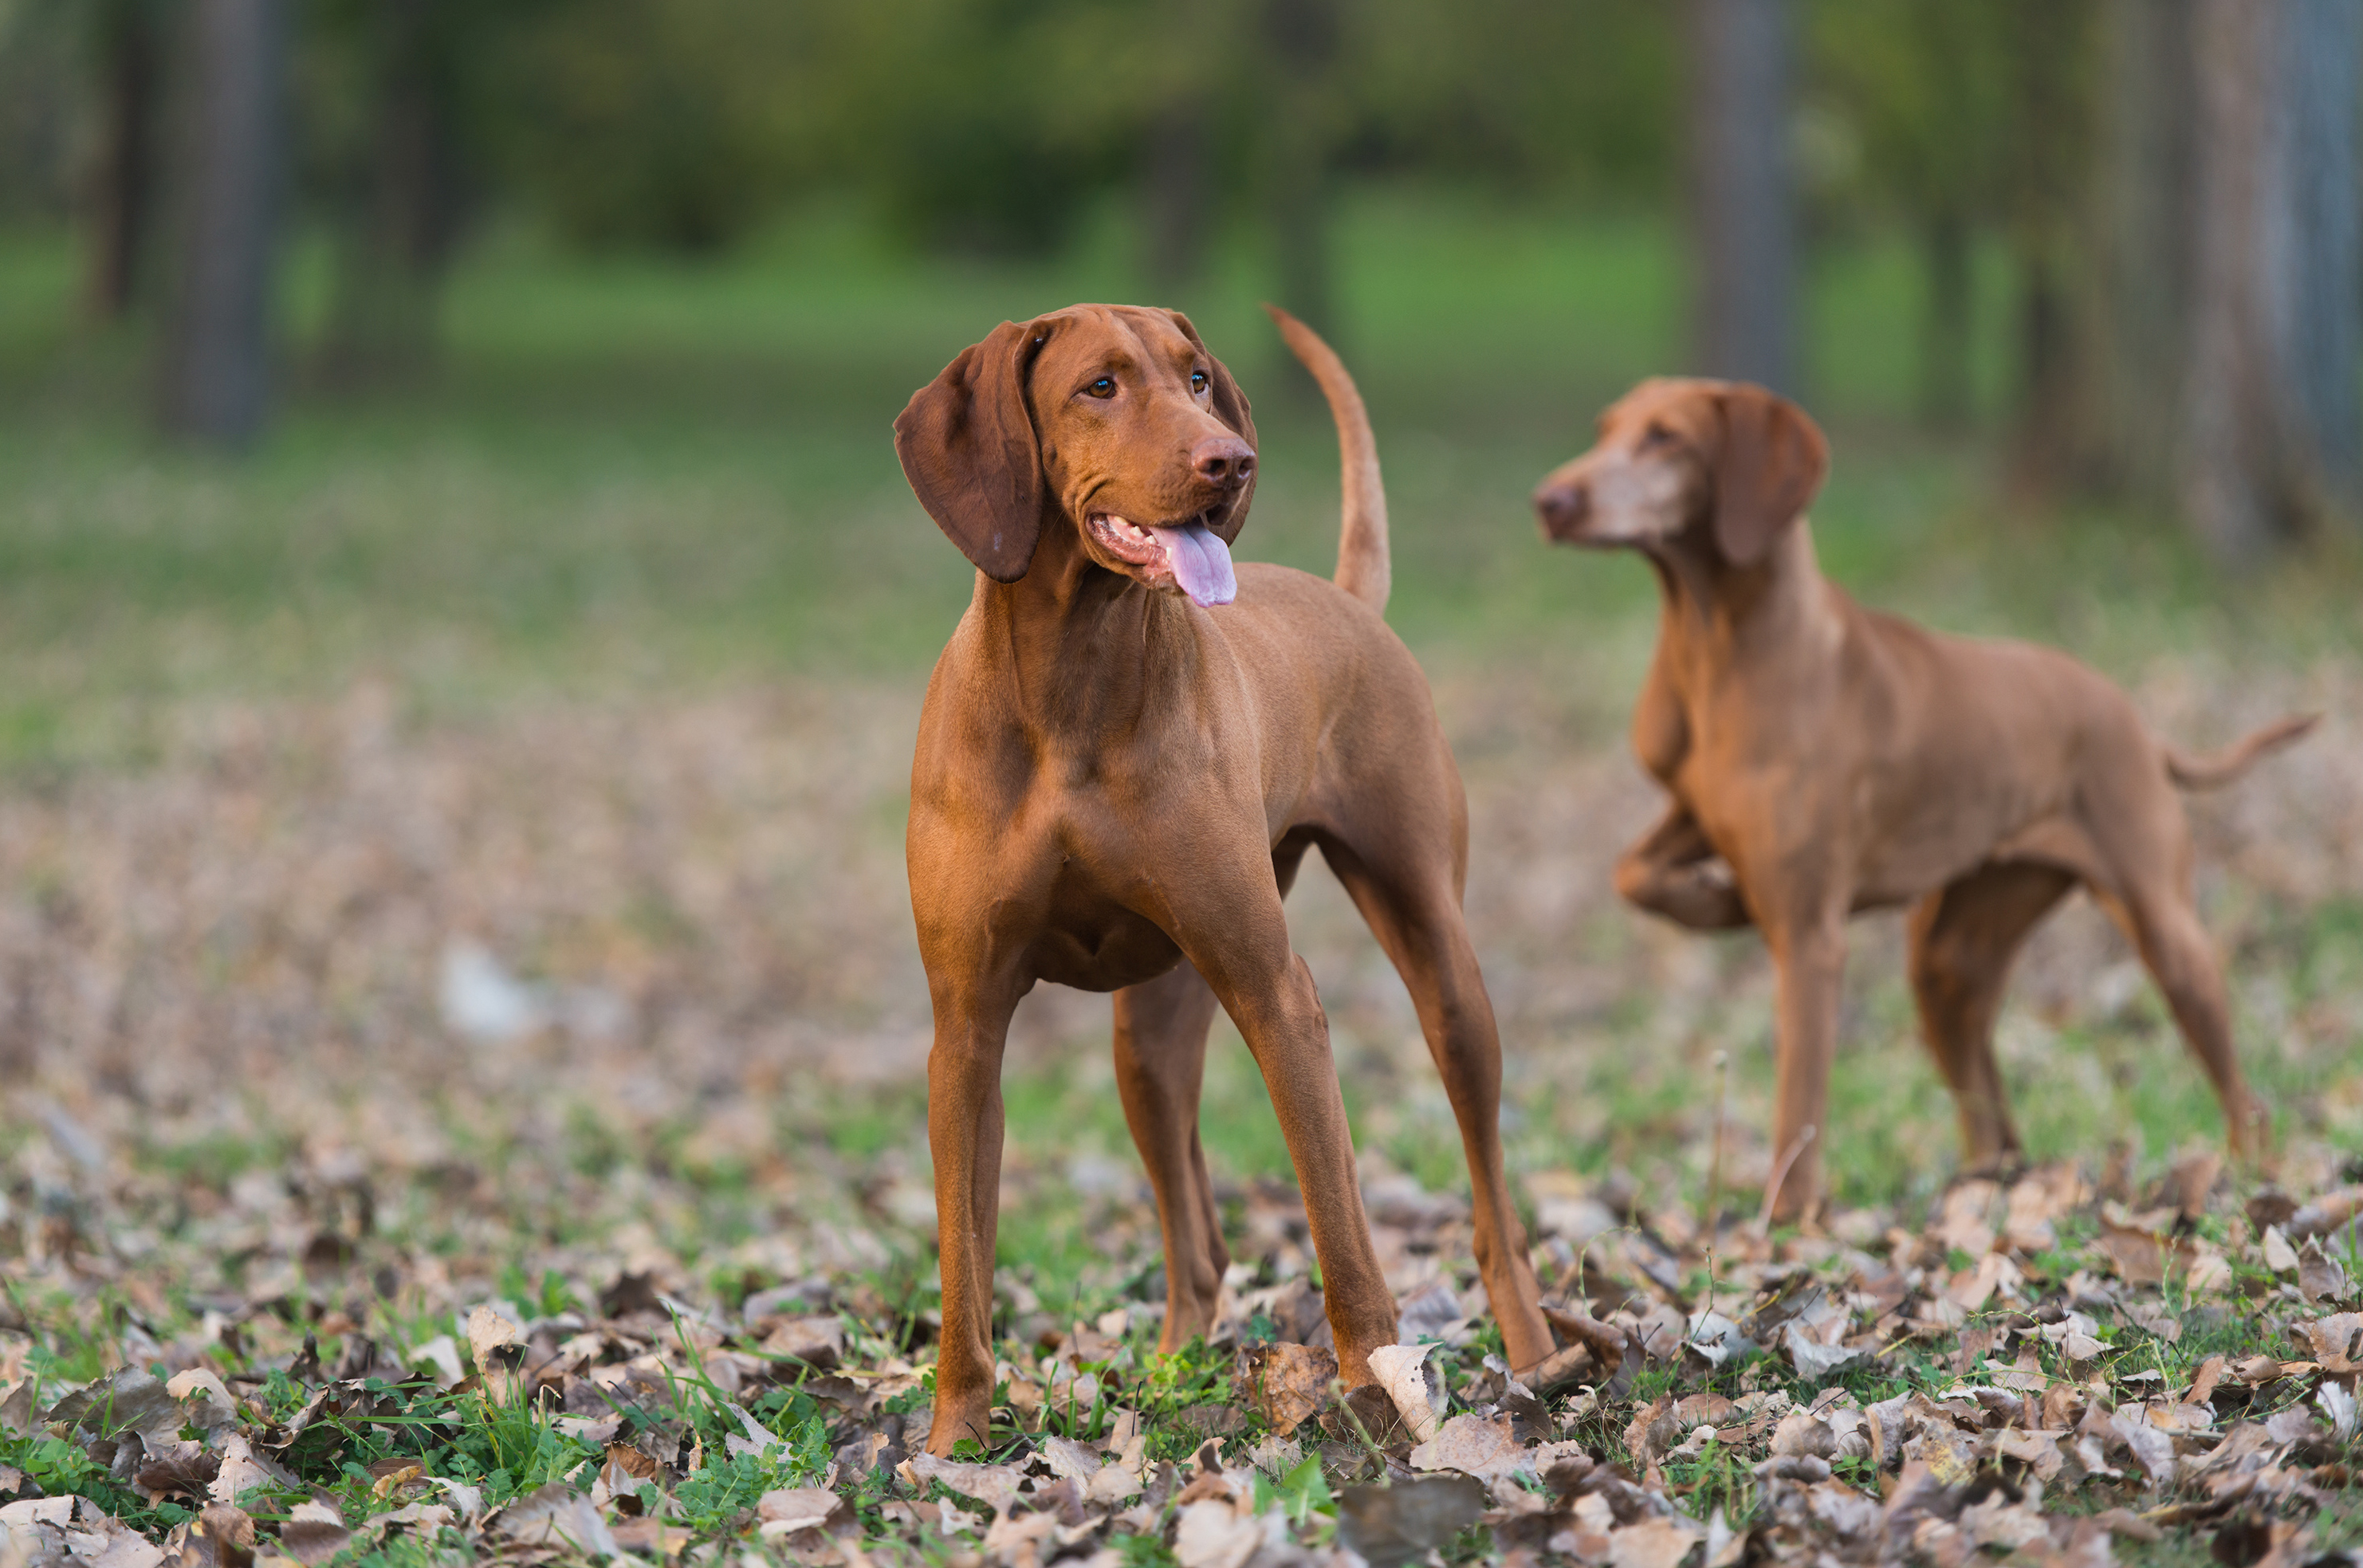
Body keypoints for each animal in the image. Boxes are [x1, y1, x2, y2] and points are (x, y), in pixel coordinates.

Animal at [893, 302, 1559, 1454]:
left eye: (1198, 377)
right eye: (1100, 385)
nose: (1231, 460)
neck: (1071, 690)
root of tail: (1347, 598)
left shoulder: (1275, 991)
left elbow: (1340, 1225)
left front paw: (1375, 1391)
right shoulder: (965, 1029)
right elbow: (964, 1262)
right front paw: (954, 1443)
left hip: (1441, 968)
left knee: (1490, 1202)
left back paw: (1531, 1354)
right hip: (1150, 1041)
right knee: (1195, 1238)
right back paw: (1171, 1371)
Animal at [1521, 379, 2315, 1228]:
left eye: (1665, 437)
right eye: (1606, 430)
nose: (1550, 501)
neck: (1717, 646)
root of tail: (2137, 721)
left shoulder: (1811, 939)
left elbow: (1798, 1101)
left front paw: (1787, 1223)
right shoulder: (1695, 815)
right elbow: (1631, 873)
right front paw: (1718, 901)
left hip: (2165, 931)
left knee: (2242, 1092)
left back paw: (2251, 1178)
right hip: (1950, 958)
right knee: (1993, 1118)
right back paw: (1983, 1188)